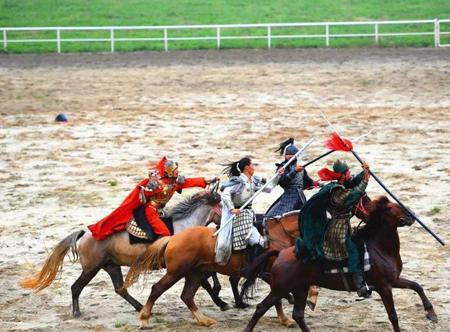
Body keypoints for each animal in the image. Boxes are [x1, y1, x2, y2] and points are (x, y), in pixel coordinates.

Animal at [20, 189, 222, 316]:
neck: (184, 226)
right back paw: (77, 313)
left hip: (111, 266)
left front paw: (220, 297)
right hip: (91, 269)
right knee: (76, 287)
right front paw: (222, 302)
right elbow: (205, 282)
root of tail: (85, 234)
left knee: (120, 289)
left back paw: (140, 307)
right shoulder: (183, 267)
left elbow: (208, 276)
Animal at [123, 209, 314, 328]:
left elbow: (278, 299)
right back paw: (144, 320)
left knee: (187, 296)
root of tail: (173, 238)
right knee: (157, 289)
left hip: (194, 274)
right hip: (175, 273)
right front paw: (287, 317)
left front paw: (286, 318)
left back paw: (205, 320)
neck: (277, 235)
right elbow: (278, 299)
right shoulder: (272, 276)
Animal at [241, 196, 438, 330]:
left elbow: (417, 286)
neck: (378, 247)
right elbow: (393, 316)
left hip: (300, 288)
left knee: (298, 314)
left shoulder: (394, 280)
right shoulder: (384, 286)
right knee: (261, 308)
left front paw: (431, 313)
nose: (411, 216)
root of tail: (281, 253)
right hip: (280, 288)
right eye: (390, 208)